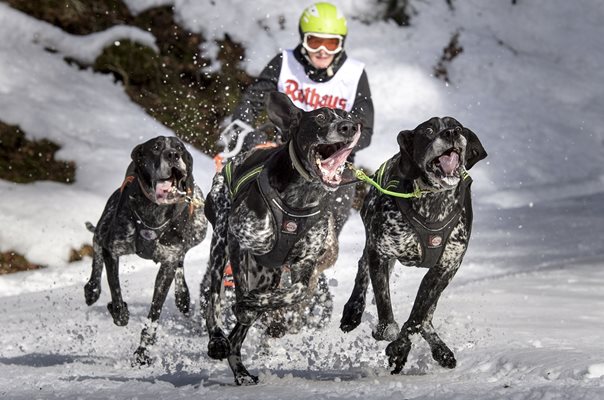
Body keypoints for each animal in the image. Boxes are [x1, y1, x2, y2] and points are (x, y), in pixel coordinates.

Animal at [84, 137, 208, 366]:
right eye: (156, 147)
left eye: (179, 147)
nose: (173, 155)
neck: (155, 213)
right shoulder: (112, 250)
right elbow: (115, 290)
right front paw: (119, 314)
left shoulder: (168, 265)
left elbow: (154, 314)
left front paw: (142, 353)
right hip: (104, 225)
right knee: (96, 242)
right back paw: (92, 289)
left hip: (198, 231)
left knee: (183, 255)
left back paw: (183, 296)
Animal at [205, 91, 360, 384]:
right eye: (320, 117)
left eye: (349, 116)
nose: (350, 127)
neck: (301, 198)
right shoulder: (238, 239)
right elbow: (239, 287)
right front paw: (246, 303)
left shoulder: (304, 266)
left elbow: (291, 294)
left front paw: (257, 304)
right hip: (220, 244)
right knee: (214, 300)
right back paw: (217, 340)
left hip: (268, 274)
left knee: (238, 336)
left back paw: (241, 372)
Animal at [340, 117, 486, 374]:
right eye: (428, 130)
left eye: (458, 127)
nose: (451, 133)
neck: (433, 201)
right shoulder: (380, 253)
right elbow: (385, 306)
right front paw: (387, 331)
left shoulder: (445, 267)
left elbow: (418, 316)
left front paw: (401, 347)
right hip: (372, 243)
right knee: (362, 268)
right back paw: (353, 311)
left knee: (427, 317)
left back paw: (440, 350)